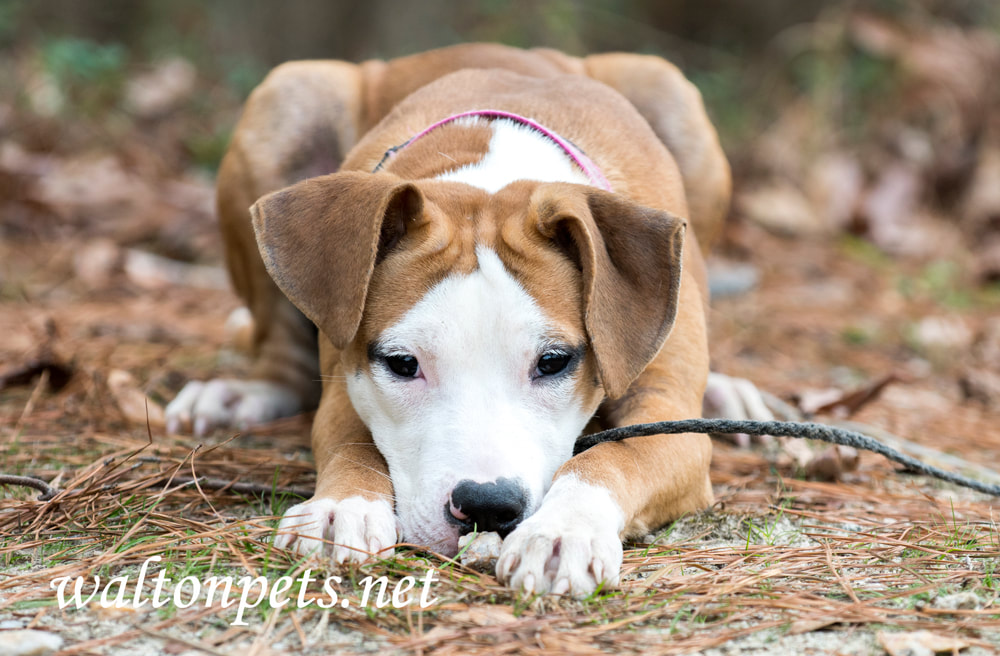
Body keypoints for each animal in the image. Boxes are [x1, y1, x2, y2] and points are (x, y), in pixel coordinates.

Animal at [166, 43, 744, 596]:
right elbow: (353, 441)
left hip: (668, 91)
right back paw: (240, 394)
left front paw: (562, 531)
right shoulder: (348, 378)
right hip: (289, 96)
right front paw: (343, 506)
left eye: (554, 362)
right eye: (403, 364)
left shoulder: (670, 418)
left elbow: (613, 458)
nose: (487, 506)